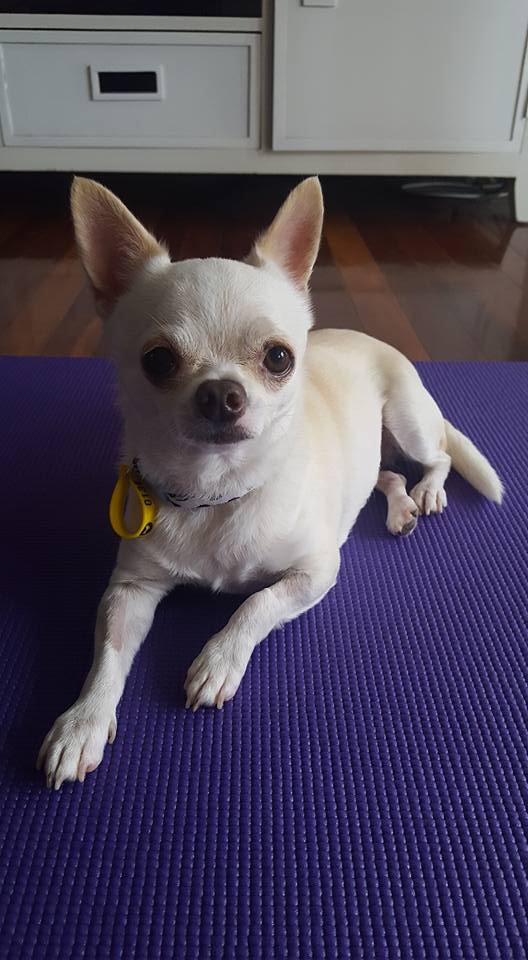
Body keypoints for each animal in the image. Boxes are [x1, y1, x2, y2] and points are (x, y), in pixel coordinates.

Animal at [37, 177, 502, 788]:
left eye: (278, 358)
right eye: (157, 361)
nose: (220, 392)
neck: (215, 492)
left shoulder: (315, 573)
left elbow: (255, 605)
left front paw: (218, 661)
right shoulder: (130, 591)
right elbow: (107, 657)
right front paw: (81, 722)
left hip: (409, 419)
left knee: (439, 455)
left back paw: (425, 492)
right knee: (384, 473)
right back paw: (400, 506)